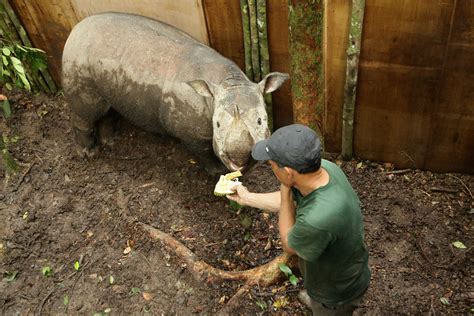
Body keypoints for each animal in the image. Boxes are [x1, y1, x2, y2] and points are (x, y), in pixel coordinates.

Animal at [61, 12, 286, 173]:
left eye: (261, 120)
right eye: (217, 125)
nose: (239, 157)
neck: (230, 81)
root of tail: (74, 30)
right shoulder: (193, 134)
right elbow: (204, 153)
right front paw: (217, 172)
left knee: (108, 108)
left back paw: (111, 142)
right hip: (78, 58)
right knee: (88, 111)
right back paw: (89, 153)